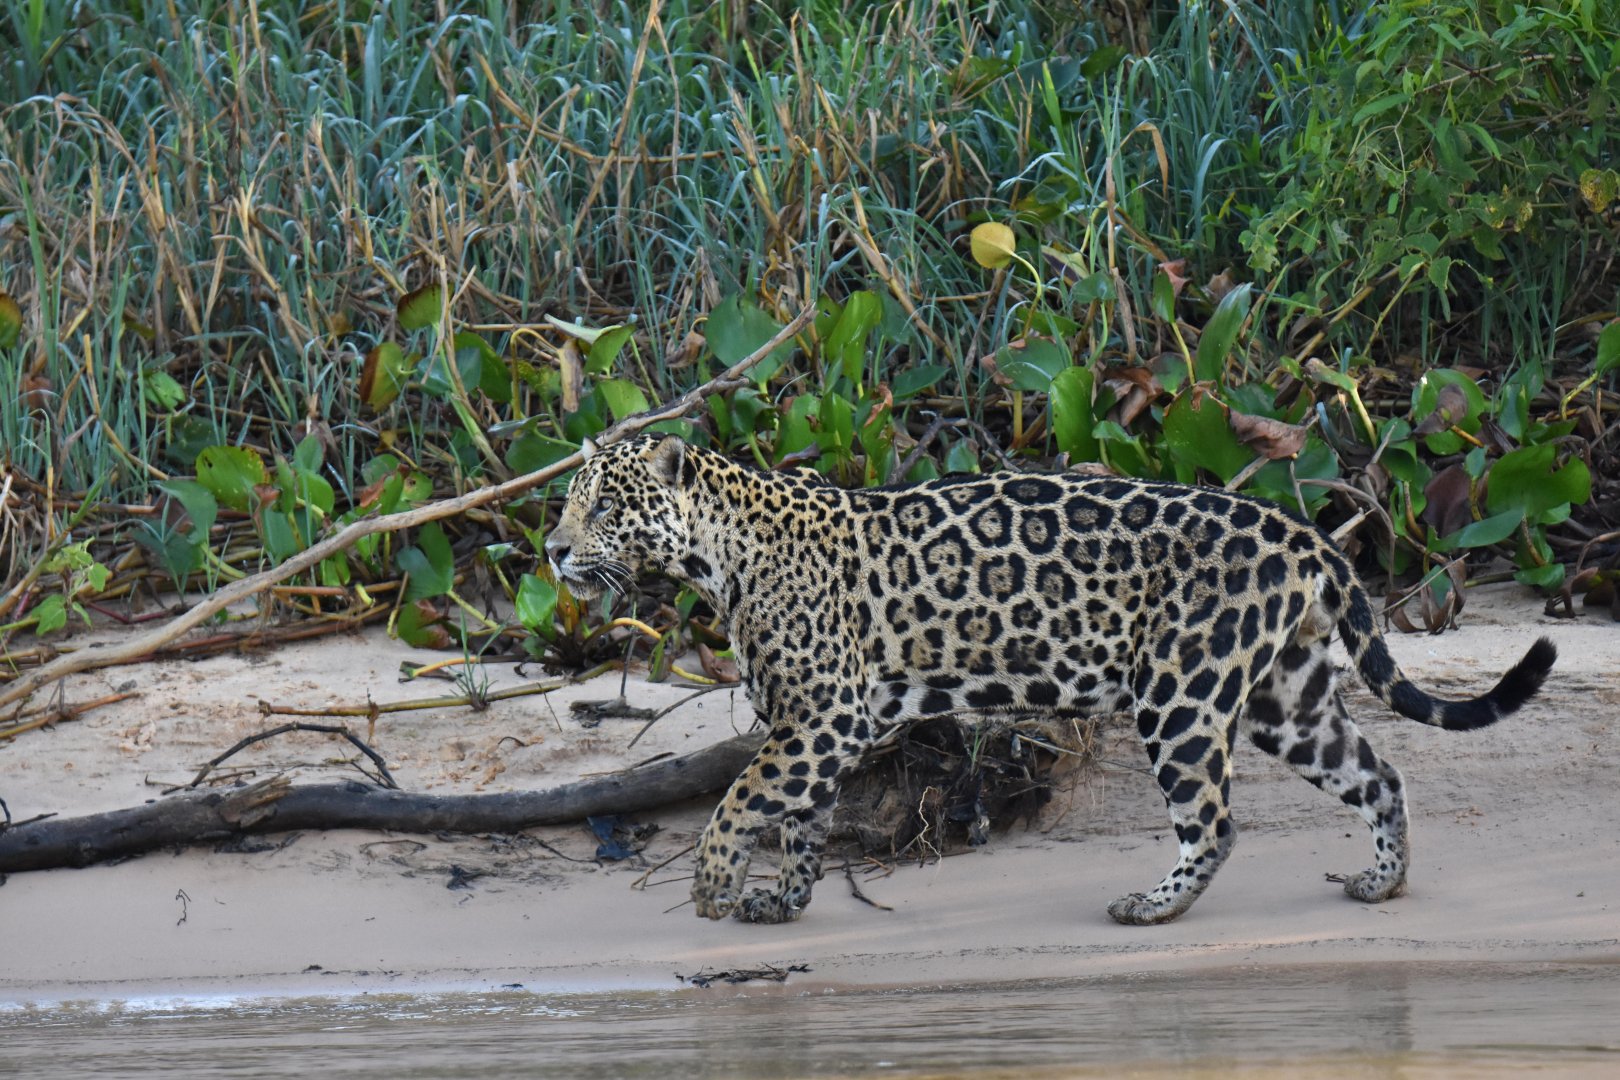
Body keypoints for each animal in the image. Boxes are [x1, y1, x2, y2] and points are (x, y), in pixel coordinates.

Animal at [544, 434, 1556, 926]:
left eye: (605, 505)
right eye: (568, 501)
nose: (551, 548)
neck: (714, 556)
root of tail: (1301, 528)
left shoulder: (823, 718)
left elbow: (742, 800)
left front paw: (713, 884)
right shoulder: (812, 728)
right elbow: (797, 822)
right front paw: (779, 904)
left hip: (1181, 691)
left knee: (1215, 820)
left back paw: (1153, 907)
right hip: (1287, 697)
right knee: (1378, 774)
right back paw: (1383, 882)